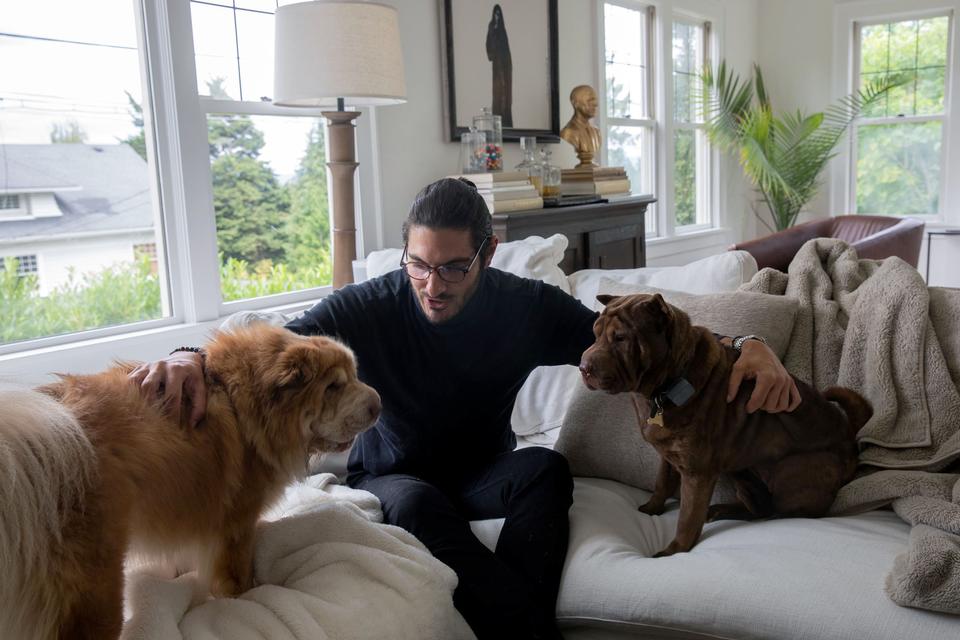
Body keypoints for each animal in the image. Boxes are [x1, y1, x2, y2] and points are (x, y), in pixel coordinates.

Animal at [0, 324, 382, 640]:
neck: (241, 402)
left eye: (354, 375)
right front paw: (245, 596)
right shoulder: (235, 528)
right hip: (95, 590)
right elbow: (238, 580)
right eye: (333, 387)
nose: (378, 405)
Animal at [576, 292, 872, 556]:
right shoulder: (669, 456)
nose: (583, 367)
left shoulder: (697, 473)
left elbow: (687, 517)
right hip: (742, 472)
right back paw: (720, 510)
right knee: (759, 507)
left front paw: (675, 551)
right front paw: (652, 508)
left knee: (776, 510)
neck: (666, 384)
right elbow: (662, 483)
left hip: (792, 475)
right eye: (595, 334)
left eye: (620, 338)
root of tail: (848, 437)